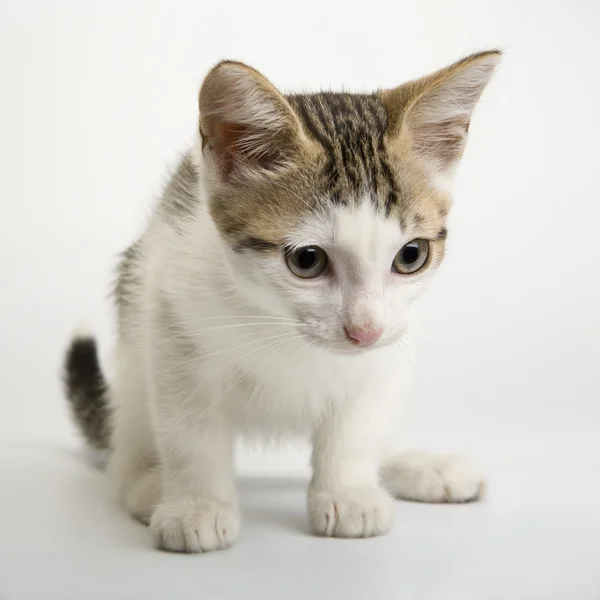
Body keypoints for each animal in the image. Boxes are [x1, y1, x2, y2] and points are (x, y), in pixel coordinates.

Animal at [63, 52, 500, 552]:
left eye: (411, 255)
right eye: (307, 260)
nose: (363, 331)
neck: (279, 325)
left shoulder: (385, 352)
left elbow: (357, 426)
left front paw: (348, 492)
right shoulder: (171, 317)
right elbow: (190, 430)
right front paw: (197, 504)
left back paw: (417, 466)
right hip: (135, 326)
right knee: (128, 436)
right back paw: (147, 485)